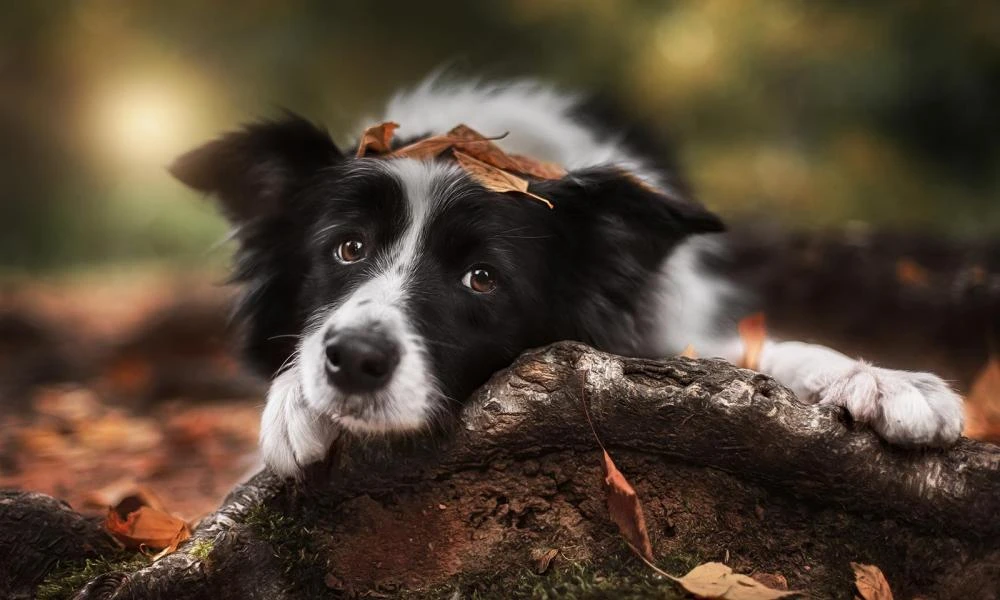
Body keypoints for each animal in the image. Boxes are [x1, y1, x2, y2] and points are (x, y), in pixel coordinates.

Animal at [170, 76, 960, 478]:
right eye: (346, 249)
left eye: (482, 278)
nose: (354, 359)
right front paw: (295, 402)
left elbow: (764, 351)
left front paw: (888, 381)